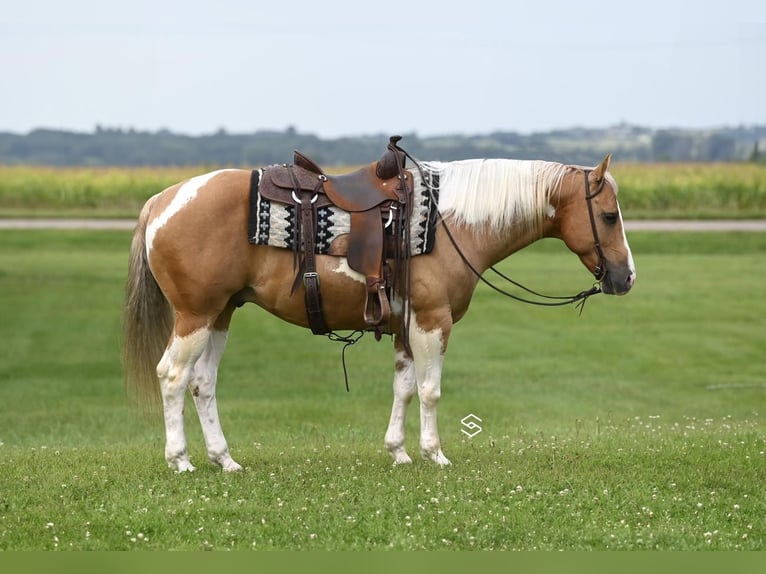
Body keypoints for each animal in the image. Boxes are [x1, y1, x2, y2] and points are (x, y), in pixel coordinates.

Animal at [123, 146, 636, 474]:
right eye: (609, 216)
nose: (626, 277)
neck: (450, 223)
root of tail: (162, 200)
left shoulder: (406, 326)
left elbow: (404, 388)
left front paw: (398, 452)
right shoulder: (432, 321)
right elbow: (430, 390)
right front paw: (434, 454)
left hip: (221, 315)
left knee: (202, 382)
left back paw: (224, 459)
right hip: (195, 316)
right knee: (173, 375)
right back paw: (180, 460)